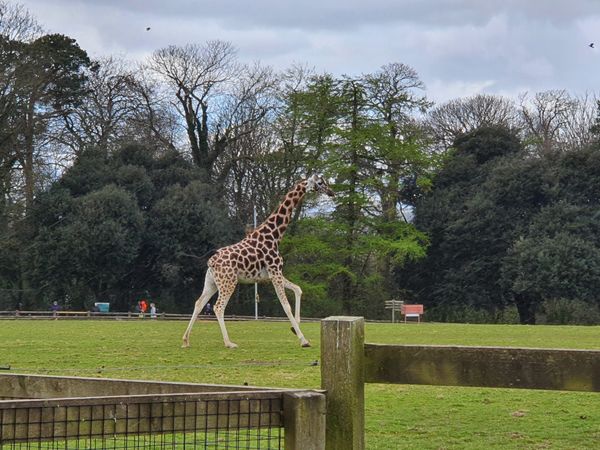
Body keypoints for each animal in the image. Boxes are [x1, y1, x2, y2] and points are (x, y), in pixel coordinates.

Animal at [180, 174, 336, 350]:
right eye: (320, 182)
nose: (331, 192)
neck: (275, 235)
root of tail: (211, 261)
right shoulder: (275, 272)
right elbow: (286, 305)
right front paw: (303, 340)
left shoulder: (271, 275)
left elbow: (298, 289)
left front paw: (294, 328)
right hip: (228, 281)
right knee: (218, 307)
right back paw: (229, 343)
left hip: (212, 282)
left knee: (199, 303)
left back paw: (186, 340)